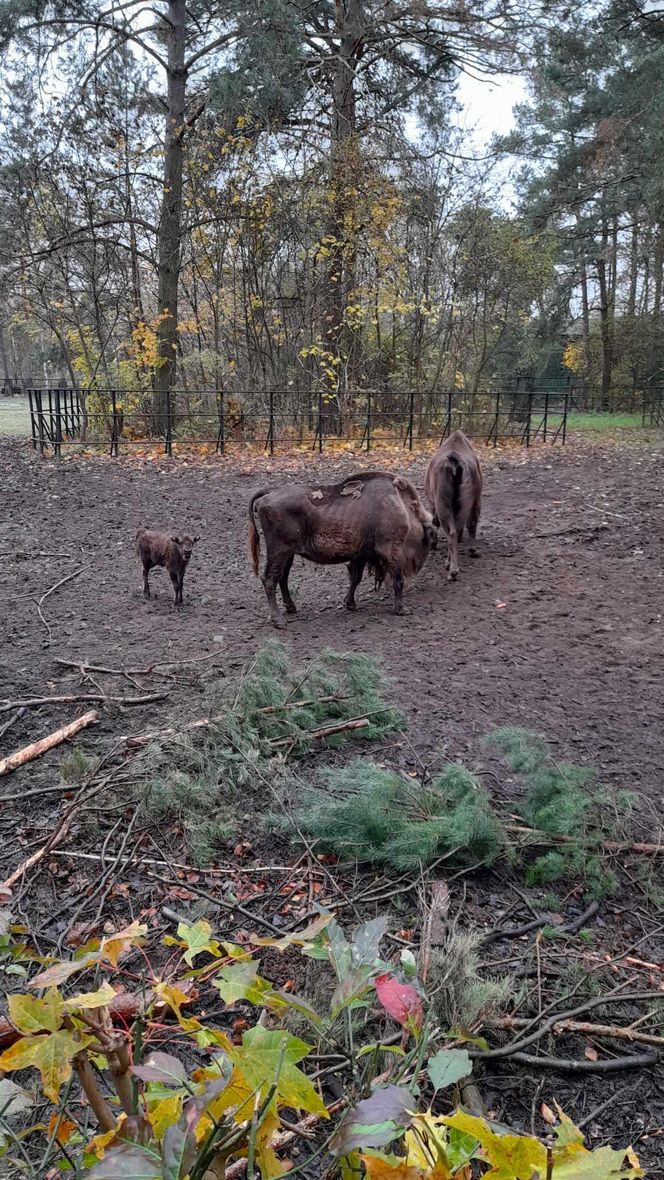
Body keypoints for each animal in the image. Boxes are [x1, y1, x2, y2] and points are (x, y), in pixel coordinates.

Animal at [246, 469, 438, 627]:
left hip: (288, 554)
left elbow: (355, 578)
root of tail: (271, 492)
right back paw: (279, 621)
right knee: (270, 579)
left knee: (282, 578)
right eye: (427, 539)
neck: (403, 509)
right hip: (279, 551)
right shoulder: (390, 550)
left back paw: (291, 608)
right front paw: (403, 610)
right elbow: (398, 580)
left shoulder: (361, 555)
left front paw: (350, 604)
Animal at [426, 431, 483, 582]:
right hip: (465, 504)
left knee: (452, 532)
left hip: (445, 505)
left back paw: (451, 569)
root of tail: (454, 462)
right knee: (459, 529)